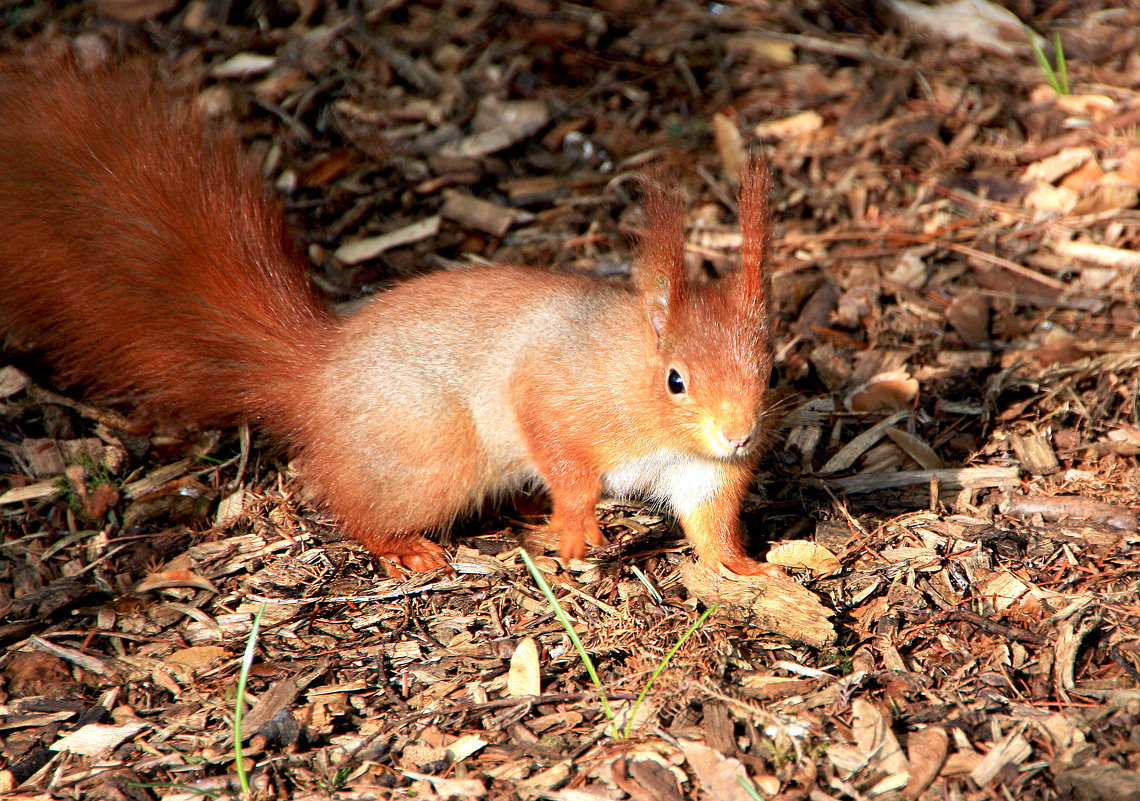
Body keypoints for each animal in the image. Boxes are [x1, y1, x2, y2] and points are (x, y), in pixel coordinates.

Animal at [0, 60, 775, 576]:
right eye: (675, 379)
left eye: (768, 369)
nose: (738, 435)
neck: (633, 379)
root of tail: (315, 373)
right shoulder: (557, 395)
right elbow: (563, 457)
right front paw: (579, 528)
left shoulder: (704, 473)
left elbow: (712, 525)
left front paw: (747, 567)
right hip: (432, 453)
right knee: (355, 511)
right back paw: (406, 547)